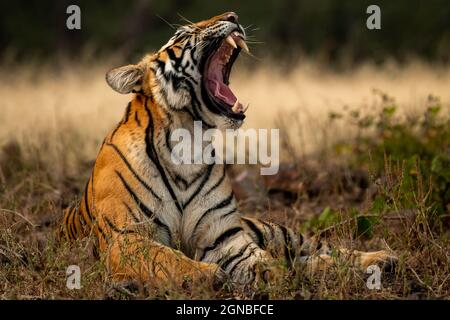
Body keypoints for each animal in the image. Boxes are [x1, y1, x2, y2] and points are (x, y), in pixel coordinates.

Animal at [59, 11, 394, 288]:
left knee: (325, 249)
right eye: (182, 32)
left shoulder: (225, 237)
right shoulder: (127, 237)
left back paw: (381, 259)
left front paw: (271, 275)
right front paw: (208, 275)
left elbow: (263, 261)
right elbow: (165, 258)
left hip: (275, 230)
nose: (233, 15)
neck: (187, 144)